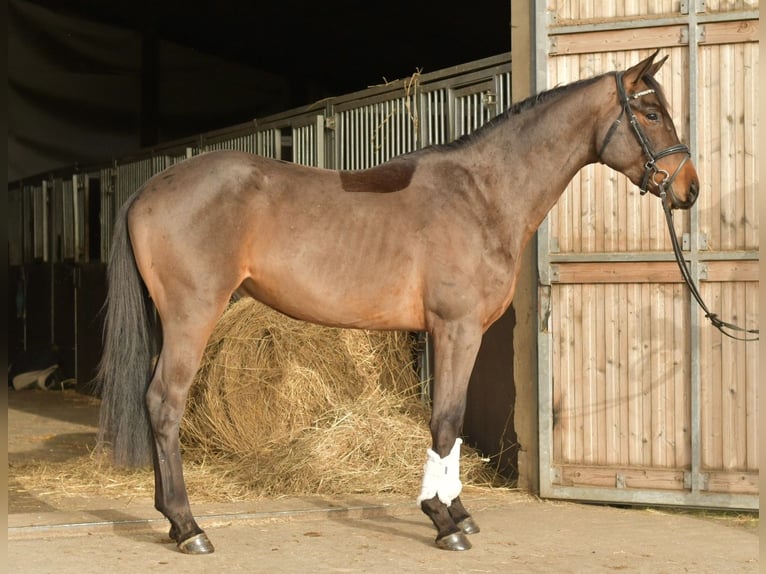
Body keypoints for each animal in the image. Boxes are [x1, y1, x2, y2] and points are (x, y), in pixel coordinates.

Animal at [96, 50, 699, 554]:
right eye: (651, 114)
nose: (688, 189)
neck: (482, 194)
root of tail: (149, 188)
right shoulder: (456, 328)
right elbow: (446, 420)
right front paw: (444, 521)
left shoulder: (453, 332)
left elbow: (451, 420)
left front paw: (457, 510)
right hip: (192, 316)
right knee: (164, 404)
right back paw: (189, 527)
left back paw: (172, 519)